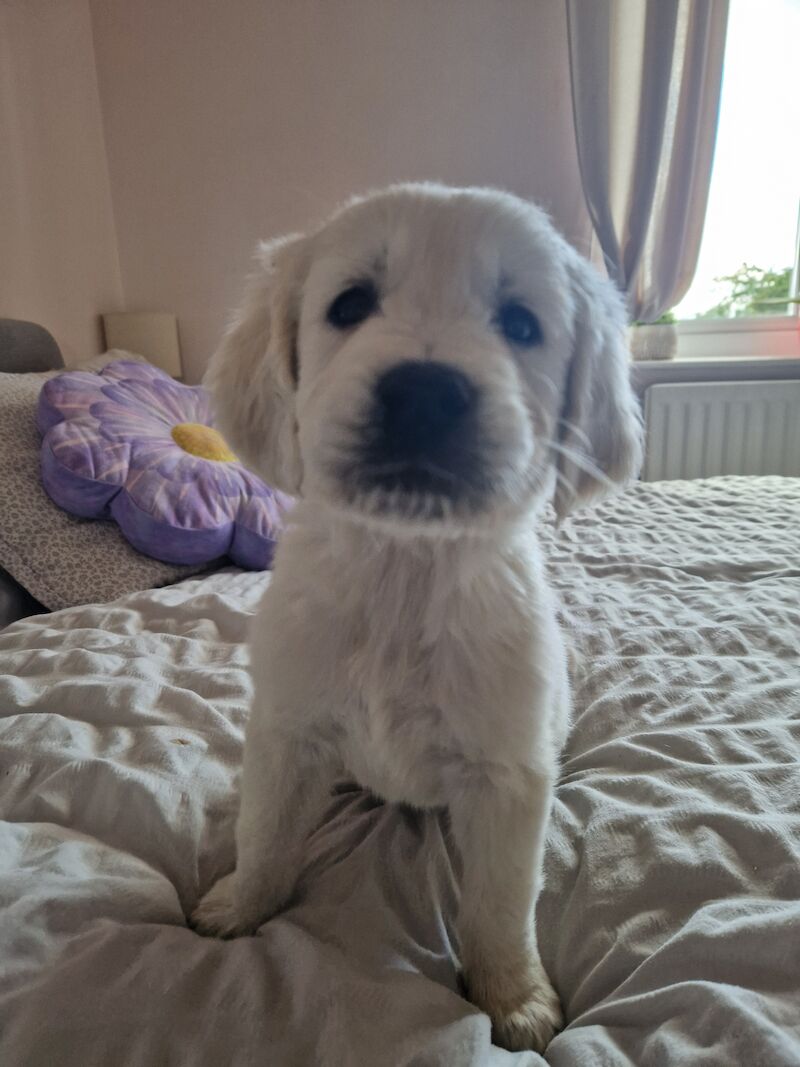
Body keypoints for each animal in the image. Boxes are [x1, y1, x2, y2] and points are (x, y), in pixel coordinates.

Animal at [194, 183, 644, 1049]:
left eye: (522, 324)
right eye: (349, 304)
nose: (427, 391)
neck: (404, 572)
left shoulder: (508, 777)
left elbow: (501, 904)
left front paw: (512, 995)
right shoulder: (286, 729)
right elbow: (263, 833)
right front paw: (241, 904)